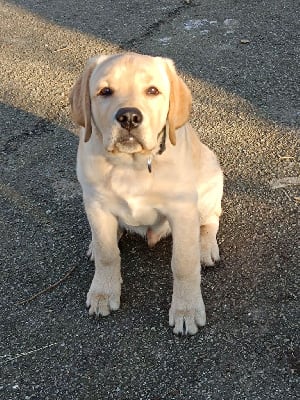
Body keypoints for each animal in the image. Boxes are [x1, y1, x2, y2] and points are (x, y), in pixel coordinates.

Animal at [68, 53, 223, 334]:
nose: (129, 117)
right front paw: (103, 293)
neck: (131, 165)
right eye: (105, 91)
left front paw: (186, 309)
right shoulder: (95, 203)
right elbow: (108, 254)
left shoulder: (183, 212)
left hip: (211, 178)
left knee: (211, 219)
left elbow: (184, 264)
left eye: (152, 91)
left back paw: (205, 247)